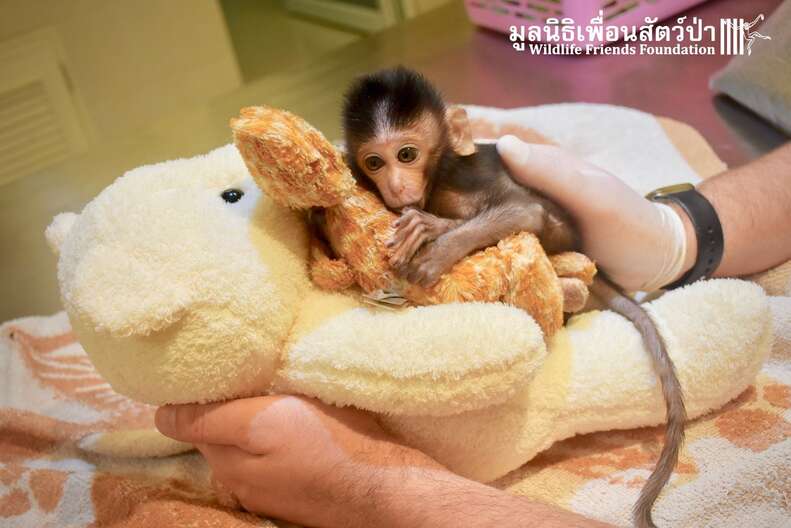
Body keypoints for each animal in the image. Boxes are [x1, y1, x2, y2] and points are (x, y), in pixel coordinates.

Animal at [344, 67, 688, 528]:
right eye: (374, 163)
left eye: (407, 154)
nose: (396, 186)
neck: (438, 178)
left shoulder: (464, 177)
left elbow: (528, 212)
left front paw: (433, 239)